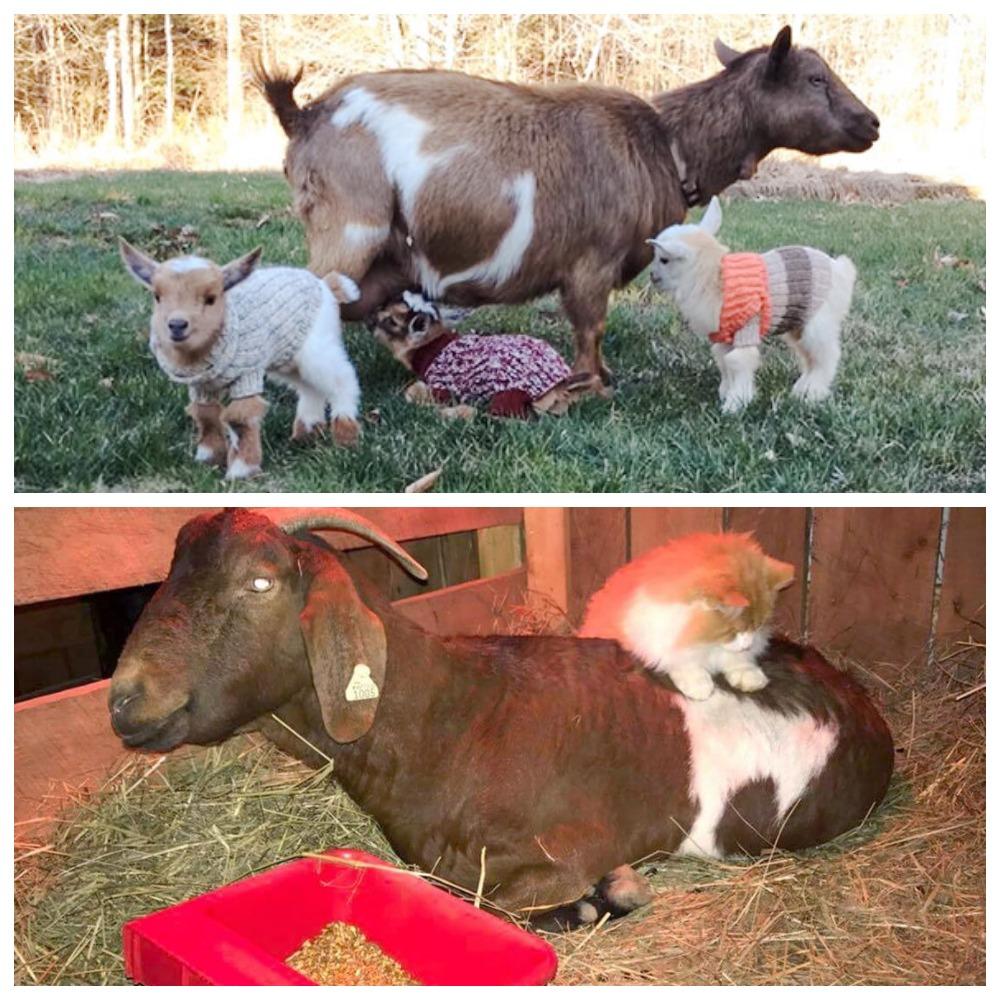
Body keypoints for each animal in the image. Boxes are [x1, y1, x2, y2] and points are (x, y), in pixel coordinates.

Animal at [254, 27, 880, 380]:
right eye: (814, 77)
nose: (872, 123)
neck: (664, 143)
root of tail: (306, 114)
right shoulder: (590, 263)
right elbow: (589, 327)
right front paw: (592, 387)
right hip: (350, 229)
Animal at [370, 296, 600, 422]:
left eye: (391, 321)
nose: (370, 319)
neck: (432, 348)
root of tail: (561, 385)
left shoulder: (442, 385)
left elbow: (413, 391)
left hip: (510, 393)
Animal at [580, 536, 796, 700]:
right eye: (733, 631)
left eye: (758, 627)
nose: (747, 645)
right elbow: (684, 662)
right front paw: (699, 685)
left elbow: (738, 661)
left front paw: (749, 676)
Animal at [652, 195, 856, 414]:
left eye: (664, 260)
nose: (652, 276)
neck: (712, 276)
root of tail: (841, 270)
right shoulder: (726, 336)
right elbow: (724, 362)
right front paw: (725, 393)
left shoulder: (745, 330)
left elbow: (738, 362)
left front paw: (735, 404)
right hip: (798, 325)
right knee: (810, 357)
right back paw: (801, 389)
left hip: (817, 323)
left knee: (827, 356)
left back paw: (814, 394)